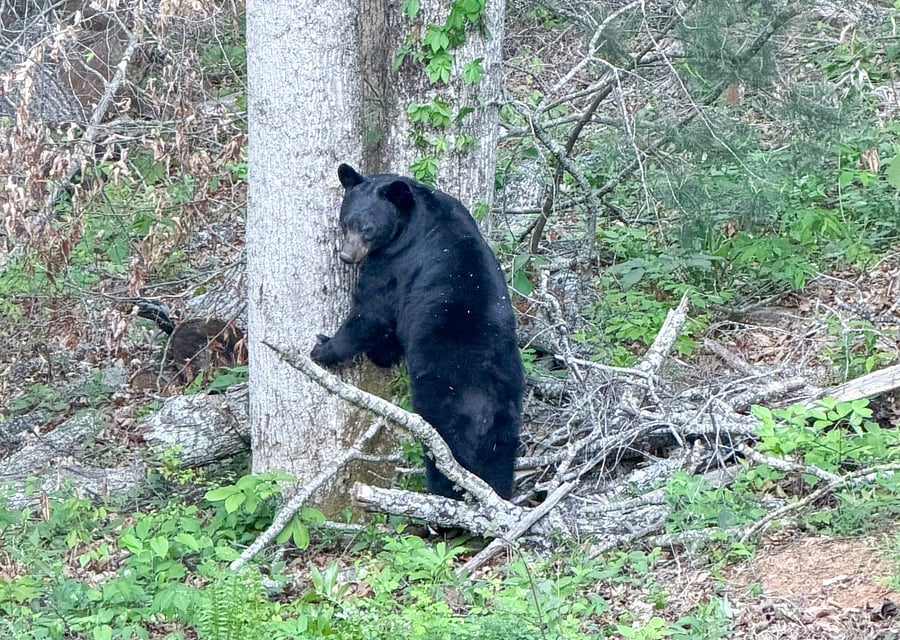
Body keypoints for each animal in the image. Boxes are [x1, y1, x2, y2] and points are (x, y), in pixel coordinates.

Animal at [310, 163, 523, 500]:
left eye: (368, 229)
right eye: (345, 223)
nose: (346, 256)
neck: (415, 217)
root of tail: (485, 407)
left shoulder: (395, 266)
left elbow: (373, 314)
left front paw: (325, 347)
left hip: (442, 401)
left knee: (445, 456)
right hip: (510, 404)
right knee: (499, 456)